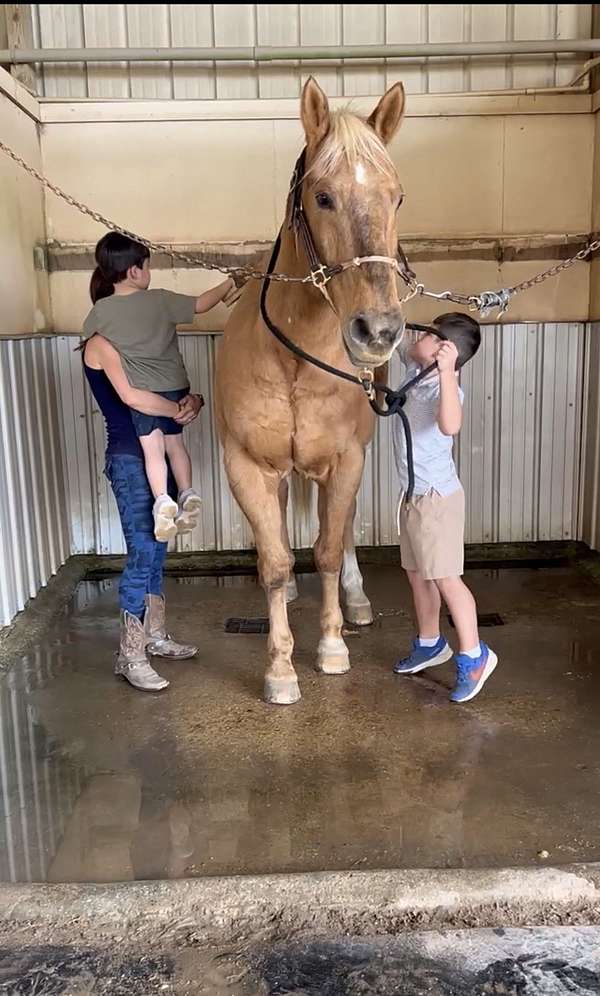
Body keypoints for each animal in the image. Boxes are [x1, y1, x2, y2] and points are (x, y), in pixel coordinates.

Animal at [215, 77, 407, 705]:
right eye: (322, 197)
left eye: (397, 198)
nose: (378, 332)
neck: (297, 360)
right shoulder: (246, 464)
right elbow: (276, 561)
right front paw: (280, 668)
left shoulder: (346, 459)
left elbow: (325, 548)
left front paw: (332, 646)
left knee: (341, 530)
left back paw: (357, 600)